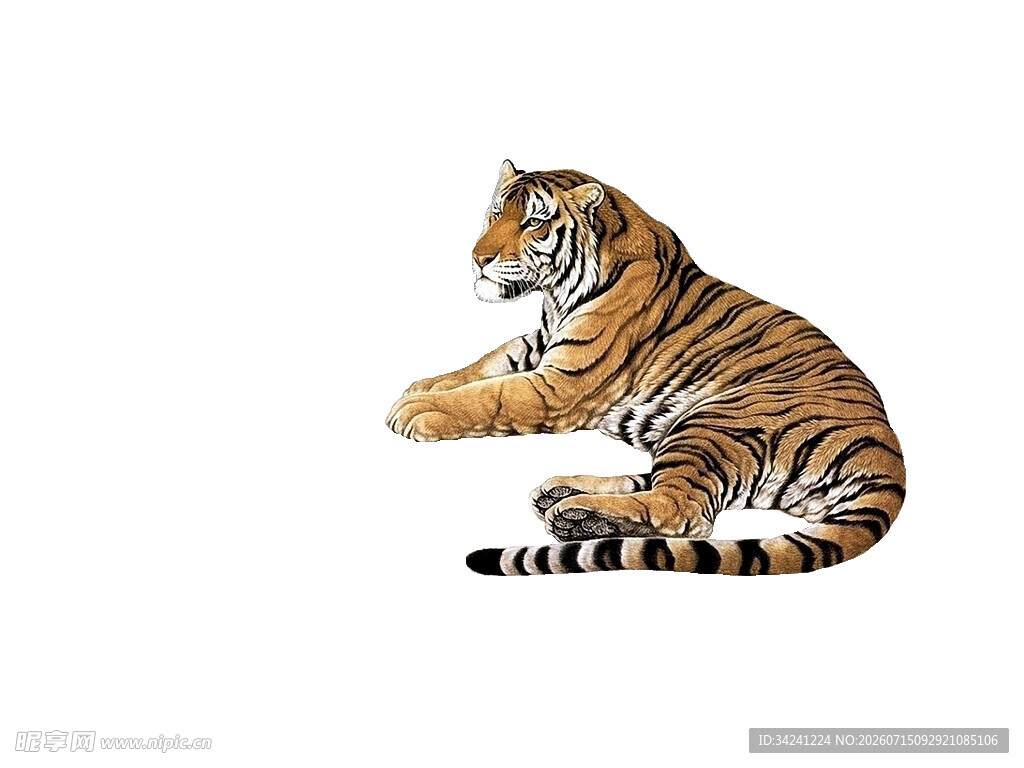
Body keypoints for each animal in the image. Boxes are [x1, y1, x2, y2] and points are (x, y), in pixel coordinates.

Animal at [386, 160, 906, 576]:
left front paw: (416, 412)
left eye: (533, 222)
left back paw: (576, 513)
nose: (478, 259)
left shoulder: (559, 384)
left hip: (715, 420)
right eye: (496, 213)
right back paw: (561, 496)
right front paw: (418, 387)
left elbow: (489, 395)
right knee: (662, 489)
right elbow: (482, 365)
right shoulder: (538, 345)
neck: (557, 294)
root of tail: (888, 453)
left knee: (684, 512)